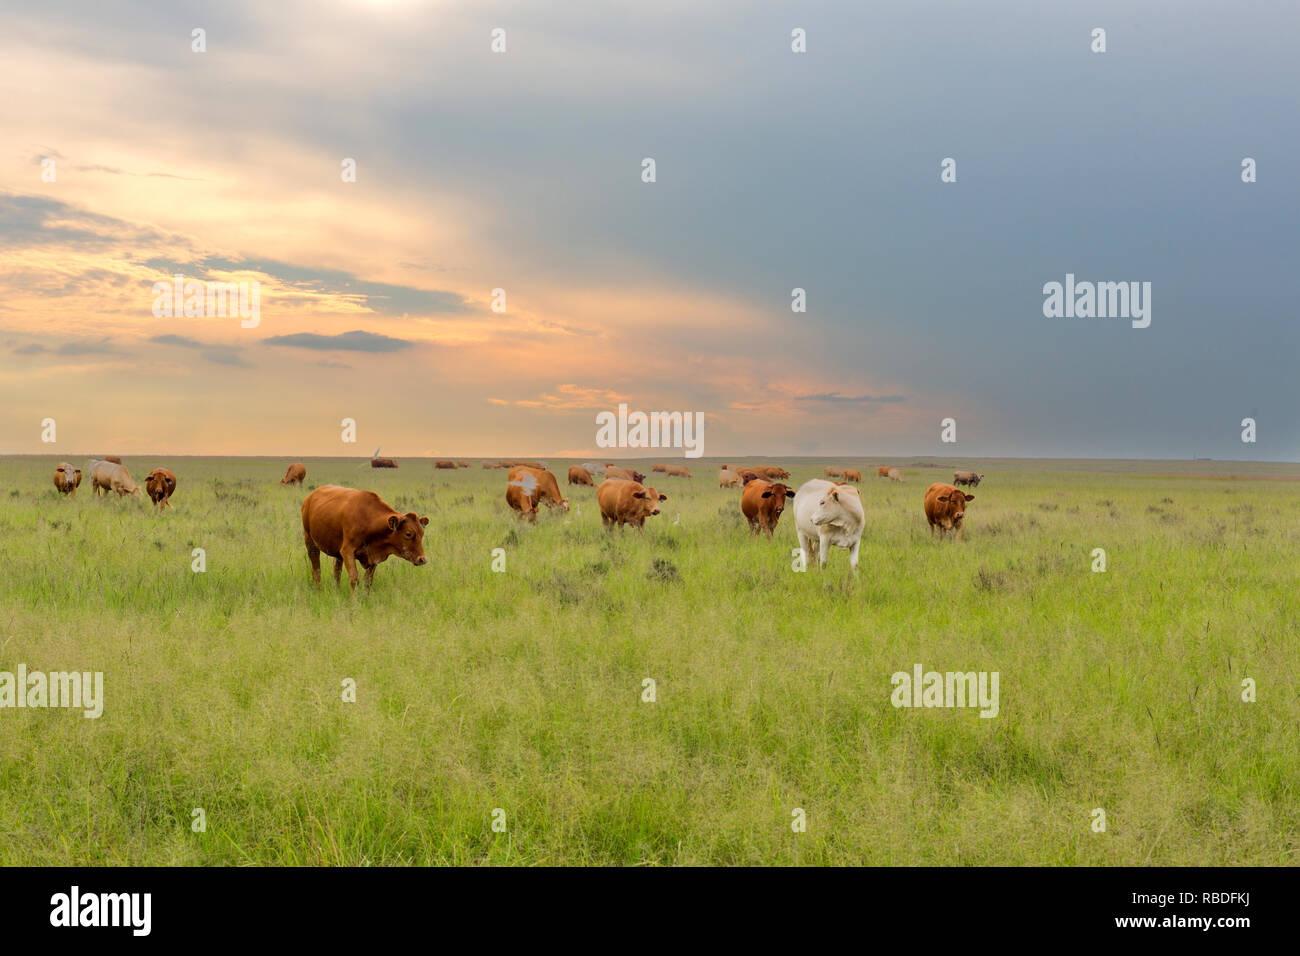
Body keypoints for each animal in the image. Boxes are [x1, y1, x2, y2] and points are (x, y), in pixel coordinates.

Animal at [301, 485, 429, 593]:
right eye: (408, 534)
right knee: (316, 570)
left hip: (337, 553)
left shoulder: (374, 557)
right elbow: (354, 579)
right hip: (310, 542)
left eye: (422, 533)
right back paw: (318, 591)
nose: (422, 559)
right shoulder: (347, 551)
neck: (367, 519)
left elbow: (368, 581)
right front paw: (354, 601)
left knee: (336, 571)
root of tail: (310, 496)